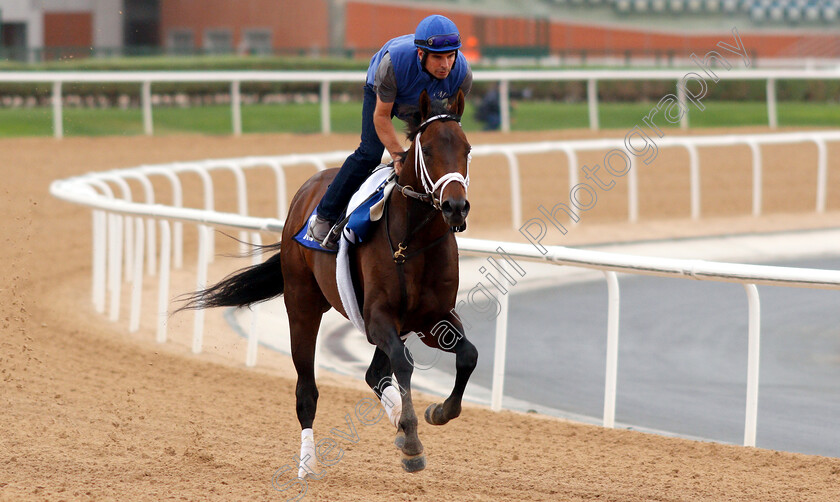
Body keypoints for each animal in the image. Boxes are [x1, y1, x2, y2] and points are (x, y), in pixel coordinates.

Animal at [180, 89, 476, 474]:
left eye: (467, 148)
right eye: (426, 150)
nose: (455, 206)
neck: (411, 240)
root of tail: (306, 192)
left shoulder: (431, 318)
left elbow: (467, 355)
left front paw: (437, 411)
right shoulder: (378, 317)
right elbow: (403, 362)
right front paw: (411, 439)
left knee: (374, 374)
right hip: (302, 303)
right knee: (307, 389)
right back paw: (307, 464)